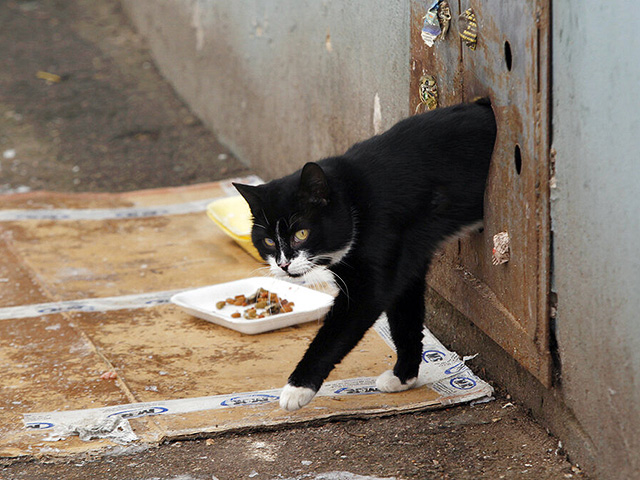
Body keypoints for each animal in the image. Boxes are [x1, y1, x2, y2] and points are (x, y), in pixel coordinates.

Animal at [232, 99, 498, 410]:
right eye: (268, 242)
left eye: (302, 234)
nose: (284, 264)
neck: (355, 203)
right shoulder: (406, 261)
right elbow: (405, 315)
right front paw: (403, 376)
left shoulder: (374, 270)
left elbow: (338, 331)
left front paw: (296, 389)